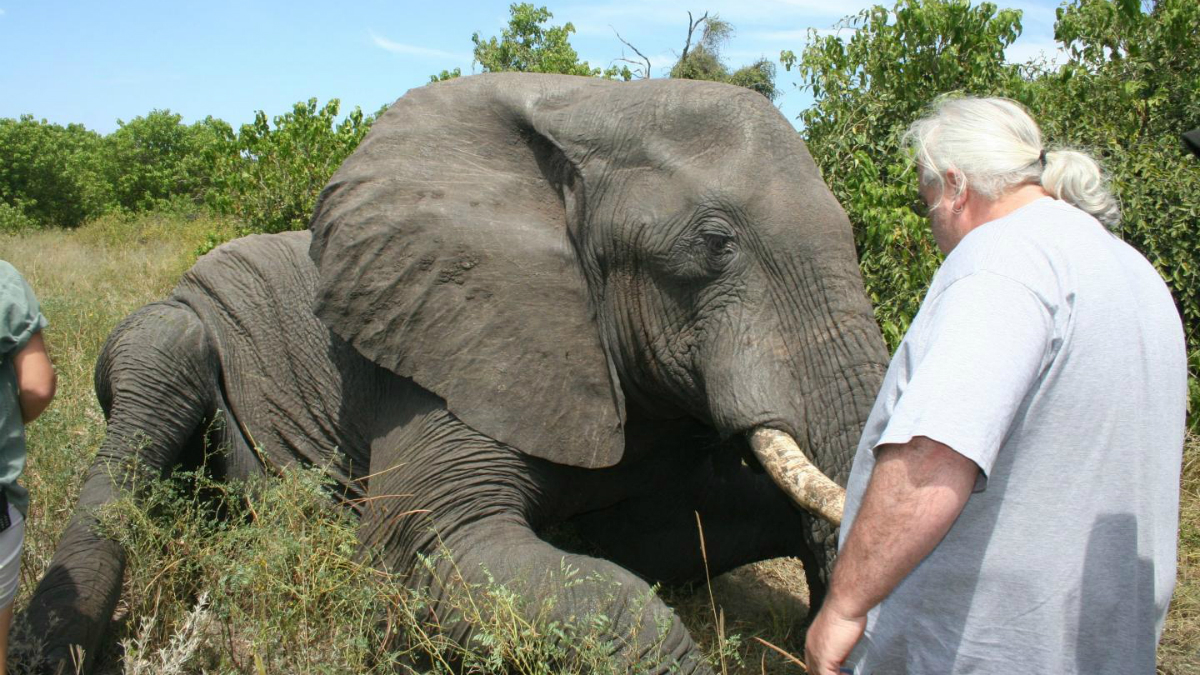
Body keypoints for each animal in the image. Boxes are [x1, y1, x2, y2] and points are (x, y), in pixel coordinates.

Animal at [21, 73, 888, 673]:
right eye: (715, 244)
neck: (587, 113)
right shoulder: (442, 351)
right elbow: (430, 546)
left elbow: (663, 533)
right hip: (178, 326)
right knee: (160, 365)